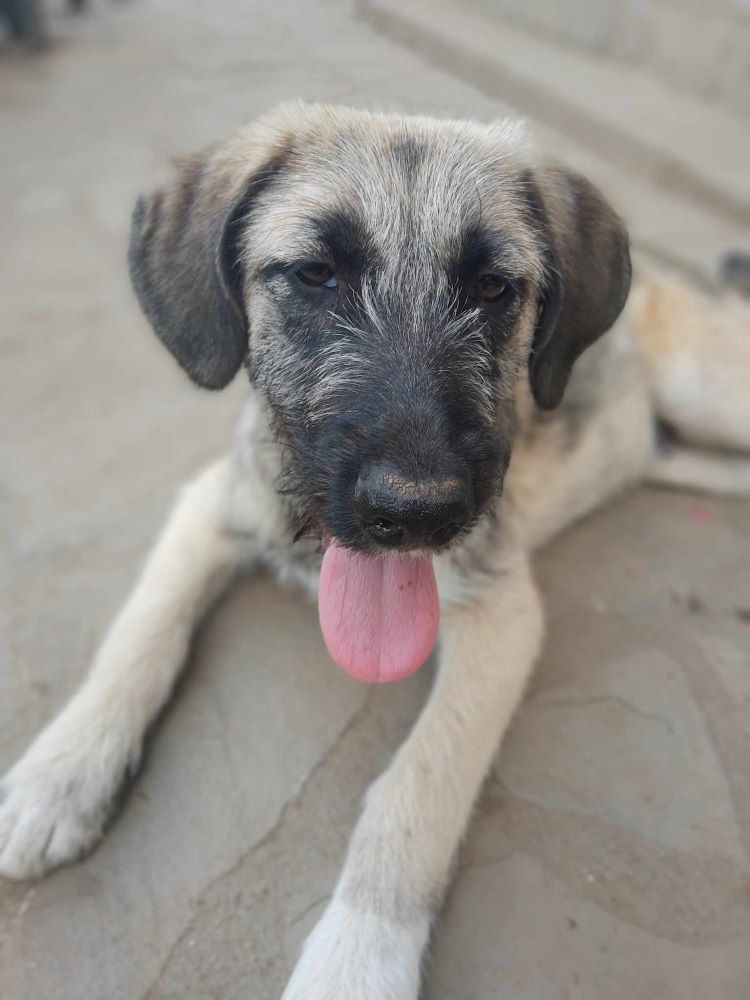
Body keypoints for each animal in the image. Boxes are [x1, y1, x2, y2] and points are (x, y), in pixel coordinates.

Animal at [1, 103, 750, 1000]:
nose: (416, 511)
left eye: (494, 287)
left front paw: (357, 956)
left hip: (713, 393)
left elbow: (417, 785)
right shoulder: (211, 505)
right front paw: (59, 774)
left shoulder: (501, 613)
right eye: (315, 274)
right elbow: (137, 637)